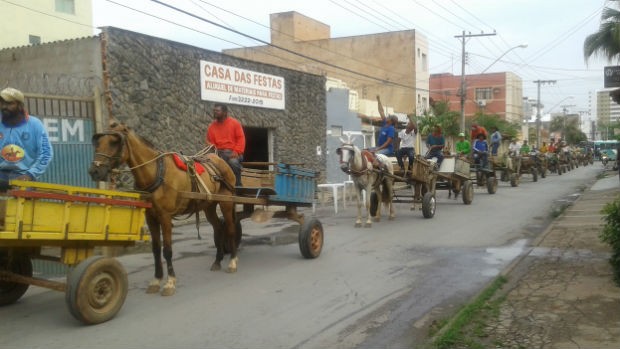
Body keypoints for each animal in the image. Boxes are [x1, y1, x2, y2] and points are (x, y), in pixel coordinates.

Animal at [88, 119, 239, 294]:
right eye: (98, 142)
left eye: (114, 142)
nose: (94, 171)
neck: (156, 172)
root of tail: (219, 160)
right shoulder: (151, 217)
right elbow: (155, 249)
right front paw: (156, 279)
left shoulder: (165, 217)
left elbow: (167, 250)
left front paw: (170, 282)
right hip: (208, 205)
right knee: (218, 228)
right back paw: (217, 260)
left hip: (226, 202)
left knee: (230, 229)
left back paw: (233, 261)